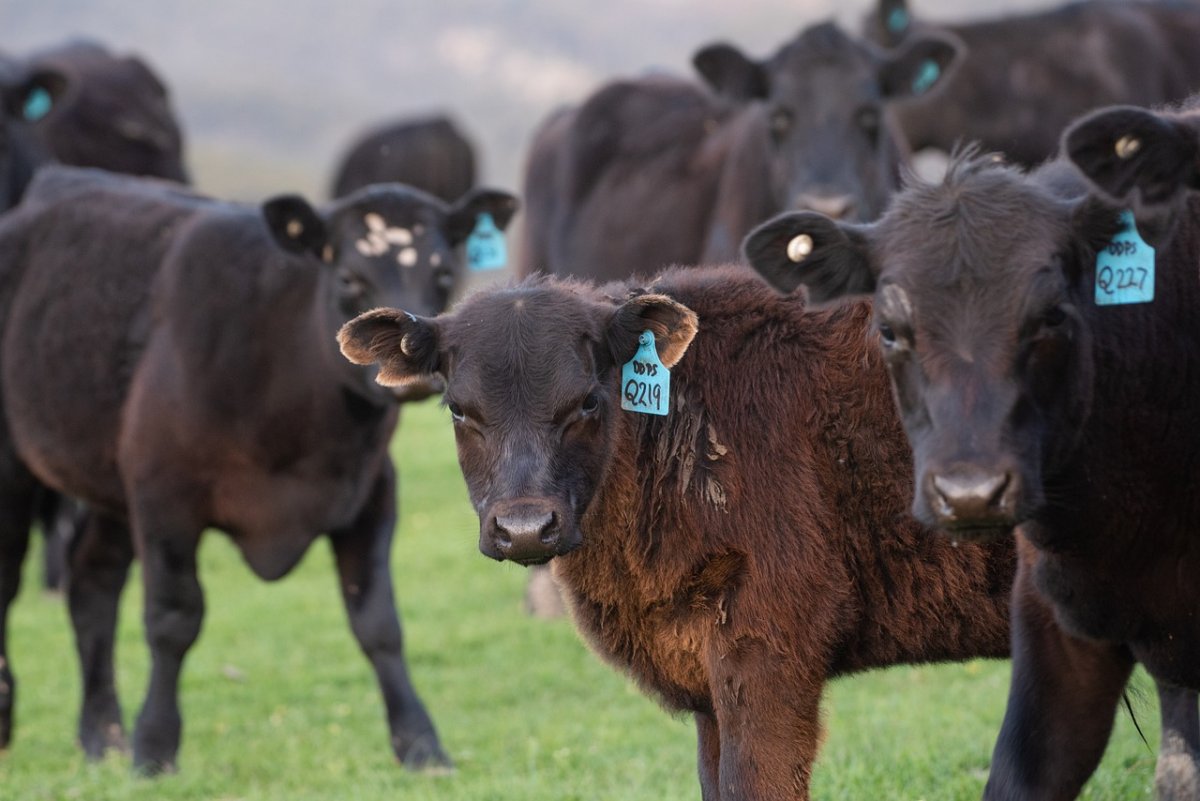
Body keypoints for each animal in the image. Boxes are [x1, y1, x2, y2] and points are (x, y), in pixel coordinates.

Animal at [0, 165, 517, 773]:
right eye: (349, 277)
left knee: (91, 583)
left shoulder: (370, 494)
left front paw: (420, 743)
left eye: (442, 272)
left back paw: (102, 736)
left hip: (111, 488)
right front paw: (155, 747)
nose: (413, 362)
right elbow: (174, 617)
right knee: (13, 580)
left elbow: (378, 623)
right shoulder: (163, 494)